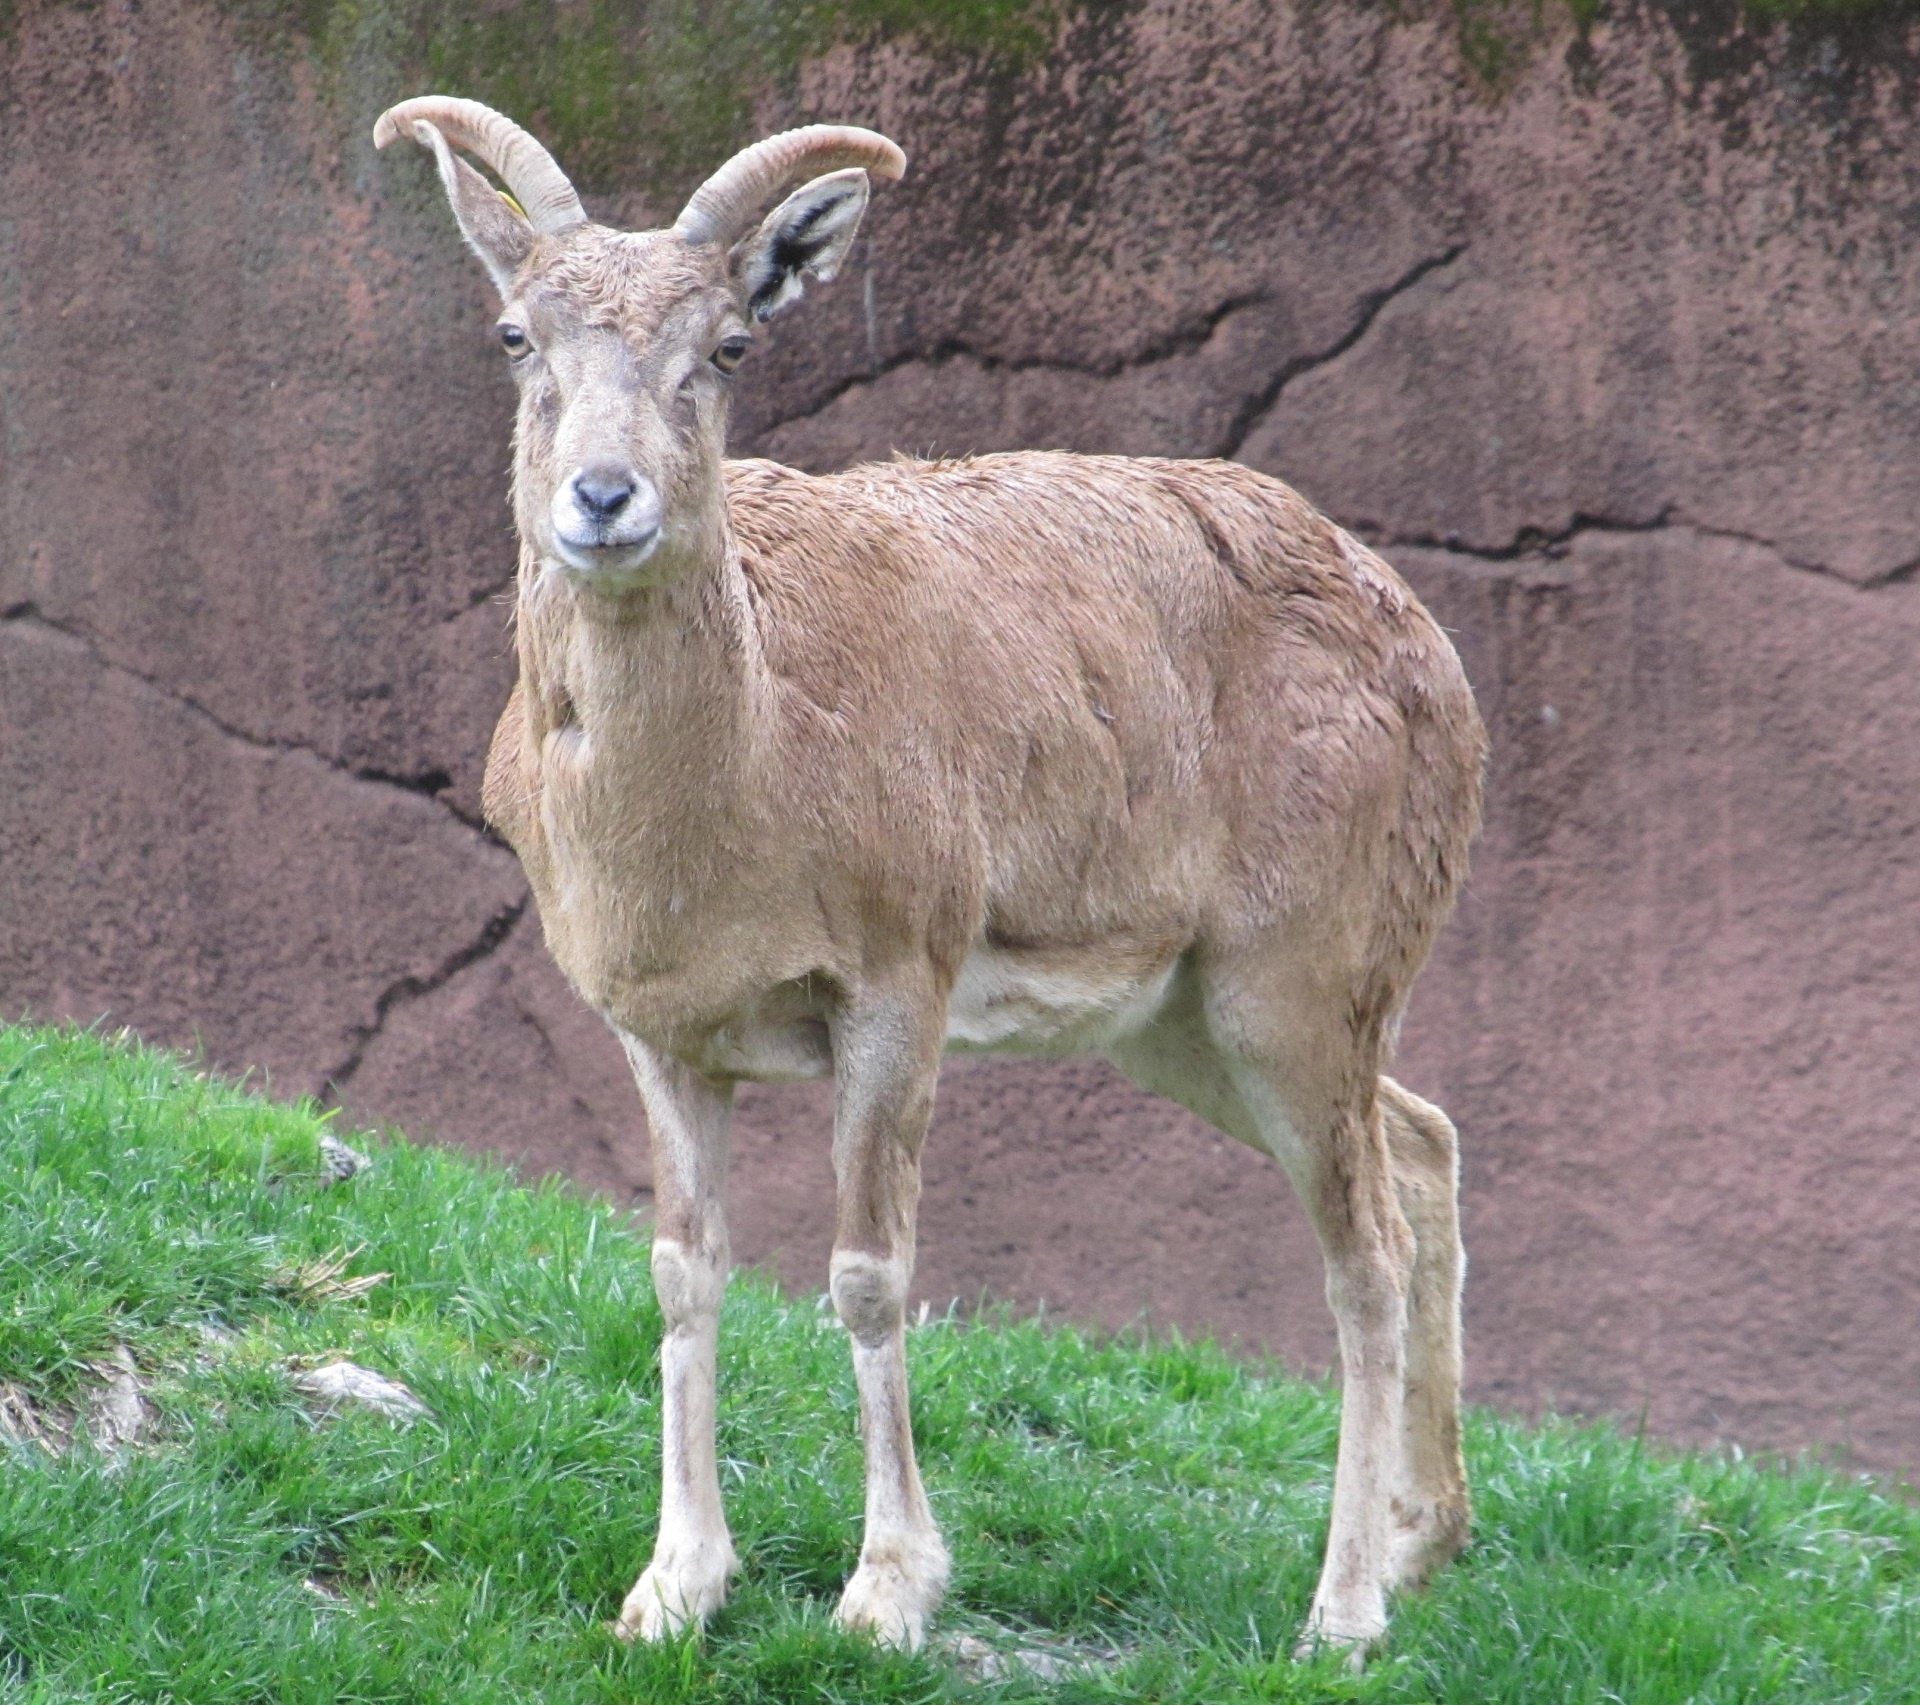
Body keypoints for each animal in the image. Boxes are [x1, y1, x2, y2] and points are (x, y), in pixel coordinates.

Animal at [374, 96, 1482, 1666]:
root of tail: (1440, 668)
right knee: (1425, 1143)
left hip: (1299, 978)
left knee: (1366, 1253)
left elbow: (868, 1271)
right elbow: (682, 1267)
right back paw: (1420, 1543)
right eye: (516, 333)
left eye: (729, 343)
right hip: (1190, 1019)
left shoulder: (899, 979)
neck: (748, 779)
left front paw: (886, 1589)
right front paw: (671, 1589)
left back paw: (1341, 1615)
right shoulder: (662, 1031)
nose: (604, 498)